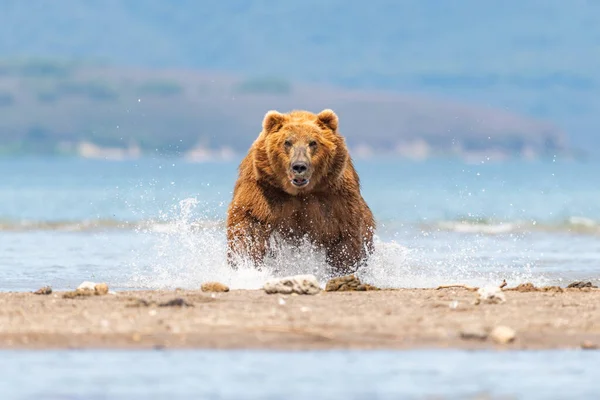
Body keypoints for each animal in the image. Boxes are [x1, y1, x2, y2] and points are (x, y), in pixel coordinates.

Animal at [225, 108, 376, 274]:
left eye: (313, 142)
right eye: (287, 142)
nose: (299, 166)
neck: (300, 192)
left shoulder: (334, 196)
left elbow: (344, 234)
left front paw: (342, 268)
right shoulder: (264, 190)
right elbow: (250, 224)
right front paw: (246, 262)